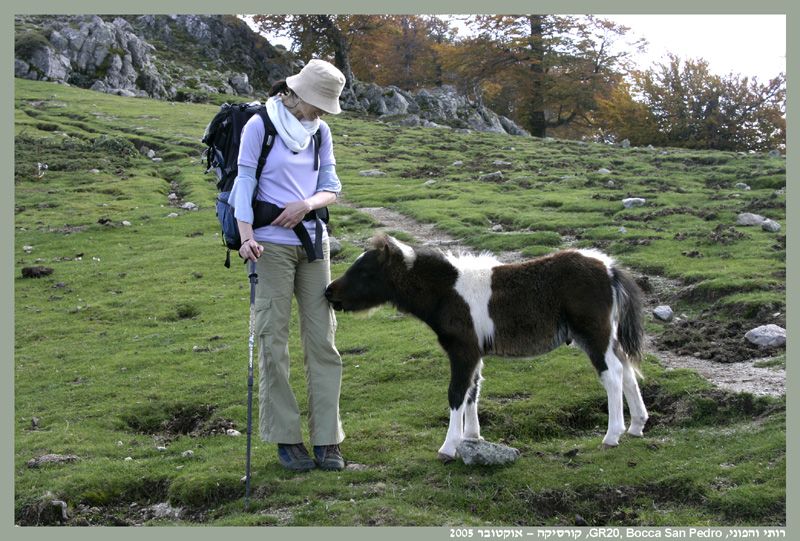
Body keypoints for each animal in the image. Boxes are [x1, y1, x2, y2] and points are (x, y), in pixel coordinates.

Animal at [324, 233, 648, 461]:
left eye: (365, 273)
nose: (329, 292)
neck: (447, 293)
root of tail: (610, 269)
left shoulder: (463, 350)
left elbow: (457, 392)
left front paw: (449, 447)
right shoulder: (475, 353)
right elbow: (473, 390)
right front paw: (472, 438)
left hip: (593, 334)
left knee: (612, 374)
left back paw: (612, 436)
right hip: (607, 336)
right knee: (627, 369)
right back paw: (637, 426)